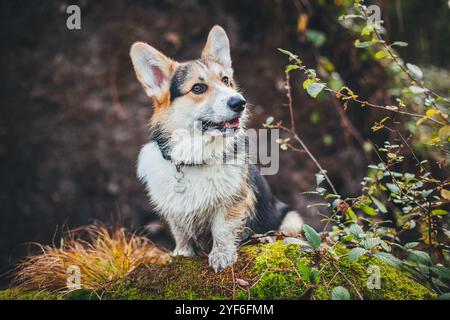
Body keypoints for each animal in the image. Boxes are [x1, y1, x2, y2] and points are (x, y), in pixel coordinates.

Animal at [130, 25, 302, 272]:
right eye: (198, 88)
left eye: (226, 80)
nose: (240, 102)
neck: (195, 158)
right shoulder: (174, 210)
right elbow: (180, 232)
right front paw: (182, 254)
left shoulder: (231, 202)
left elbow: (222, 228)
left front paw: (221, 256)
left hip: (291, 218)